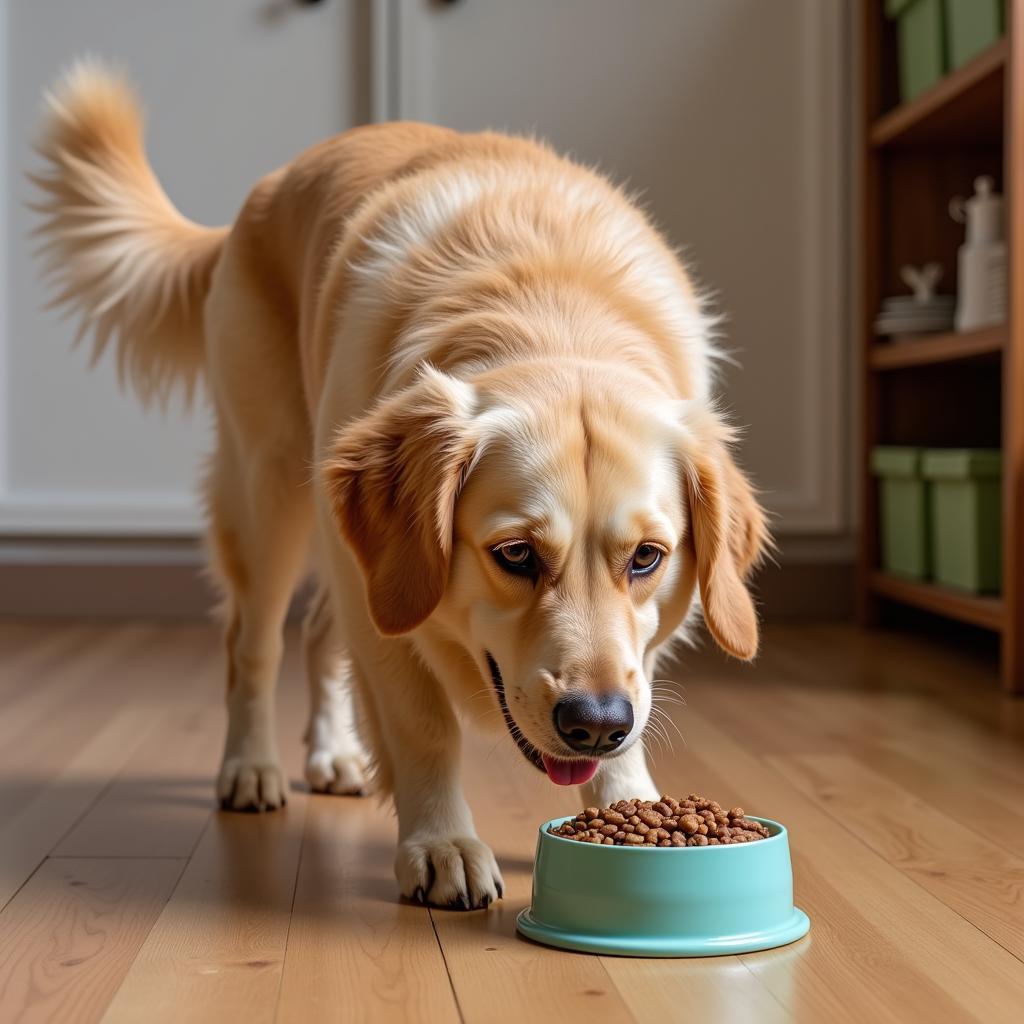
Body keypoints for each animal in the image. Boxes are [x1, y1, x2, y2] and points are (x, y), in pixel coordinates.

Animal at [32, 64, 770, 909]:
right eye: (515, 554)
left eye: (648, 557)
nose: (594, 723)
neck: (547, 309)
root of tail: (262, 193)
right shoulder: (381, 596)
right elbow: (424, 724)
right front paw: (443, 843)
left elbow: (632, 687)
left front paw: (630, 806)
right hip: (272, 491)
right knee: (252, 642)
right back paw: (250, 766)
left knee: (319, 634)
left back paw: (334, 754)